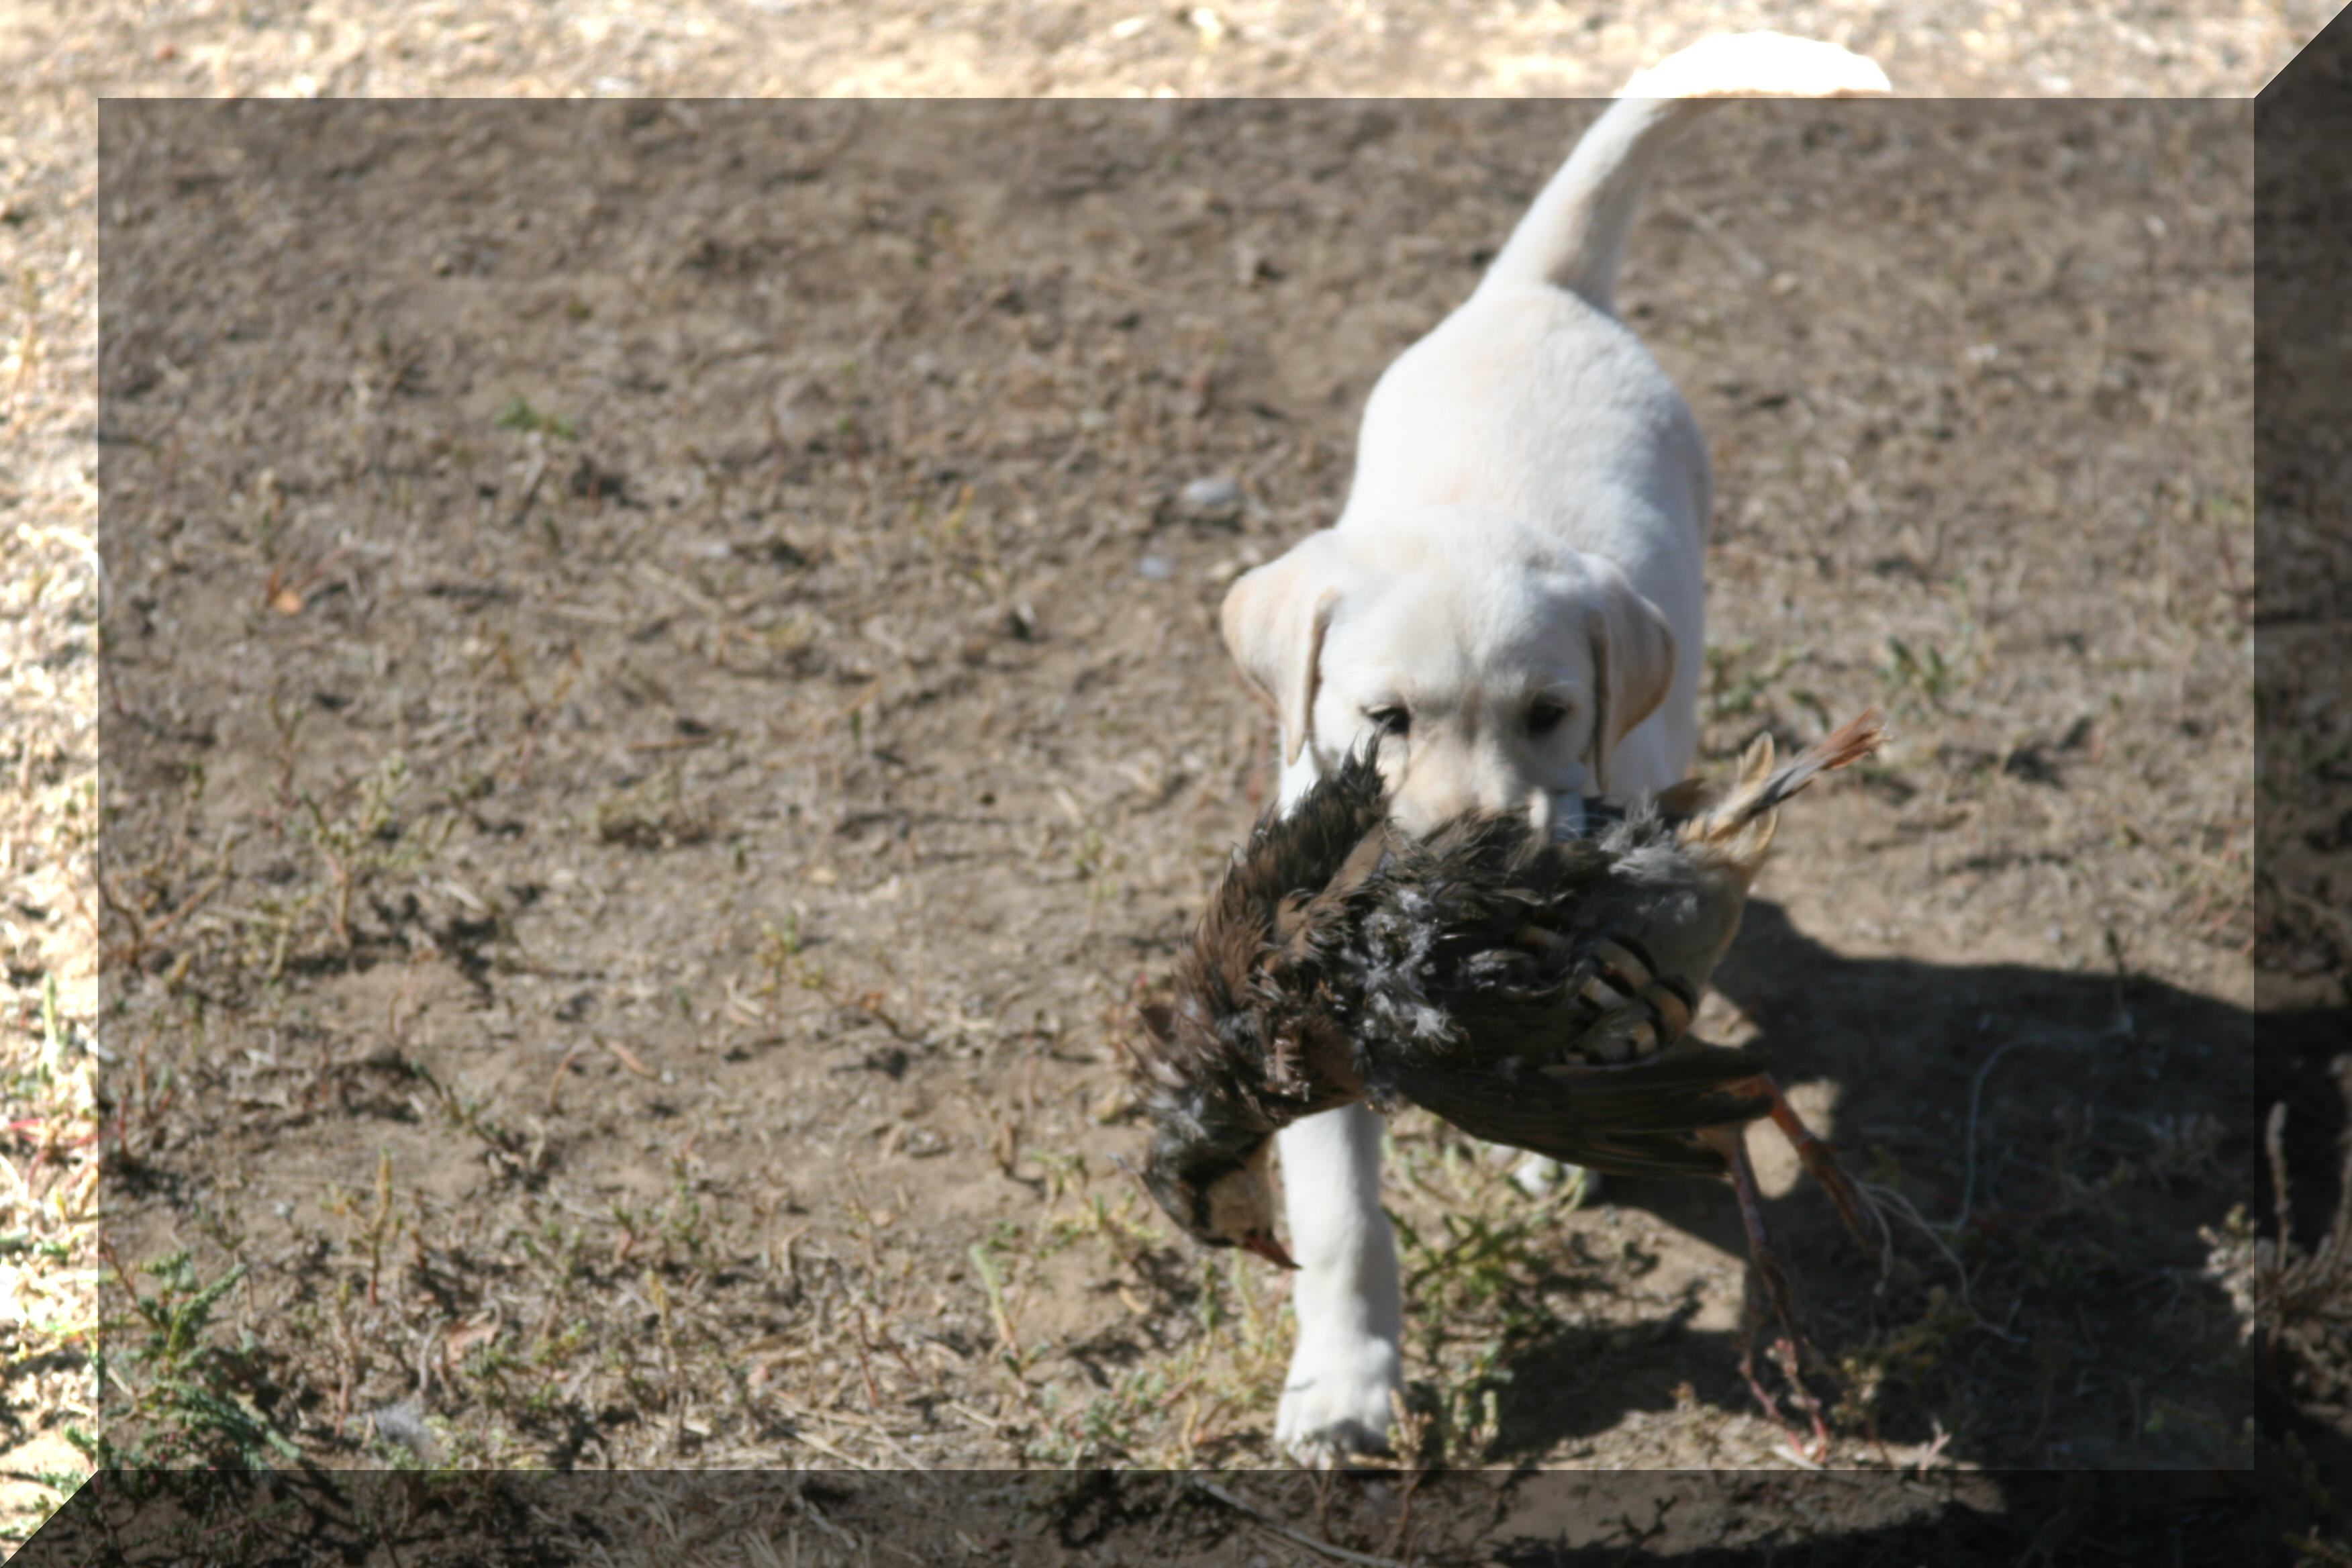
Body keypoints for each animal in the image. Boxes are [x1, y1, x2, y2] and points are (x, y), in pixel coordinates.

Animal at [1223, 36, 1881, 1467]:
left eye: (1546, 715)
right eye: (1382, 721)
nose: (1477, 862)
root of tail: (1541, 290)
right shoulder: (1306, 1013)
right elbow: (1342, 1218)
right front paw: (1345, 1387)